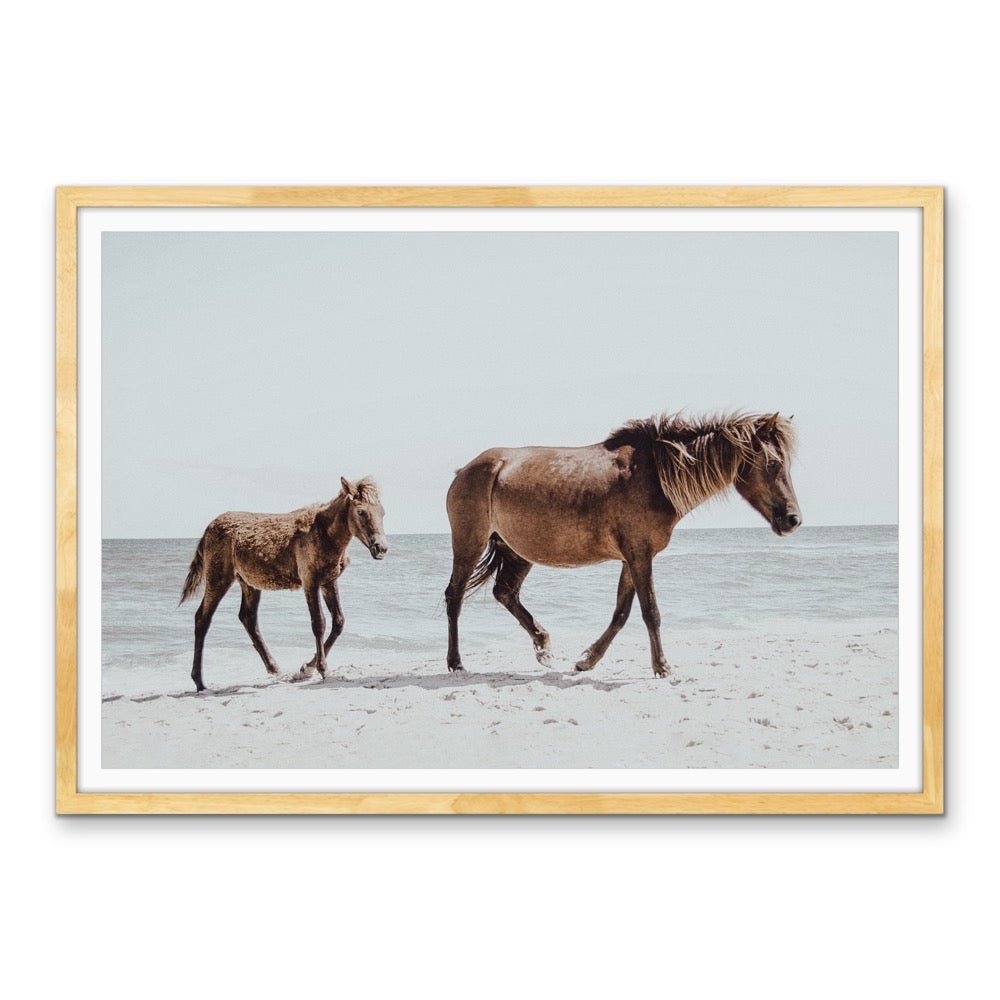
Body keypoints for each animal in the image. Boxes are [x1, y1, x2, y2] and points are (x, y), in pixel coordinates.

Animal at [179, 477, 387, 691]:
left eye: (382, 512)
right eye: (361, 512)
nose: (381, 548)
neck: (324, 534)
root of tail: (207, 530)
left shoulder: (329, 581)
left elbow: (338, 622)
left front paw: (306, 668)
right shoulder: (310, 581)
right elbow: (318, 622)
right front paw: (319, 669)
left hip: (249, 583)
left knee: (248, 618)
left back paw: (275, 668)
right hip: (218, 577)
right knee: (202, 618)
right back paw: (199, 682)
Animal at [444, 412, 801, 677]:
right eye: (772, 464)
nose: (793, 519)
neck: (655, 476)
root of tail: (466, 469)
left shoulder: (633, 558)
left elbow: (621, 613)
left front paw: (587, 660)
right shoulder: (640, 555)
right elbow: (650, 612)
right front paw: (662, 667)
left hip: (516, 551)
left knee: (504, 593)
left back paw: (543, 646)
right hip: (470, 543)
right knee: (455, 596)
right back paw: (456, 662)